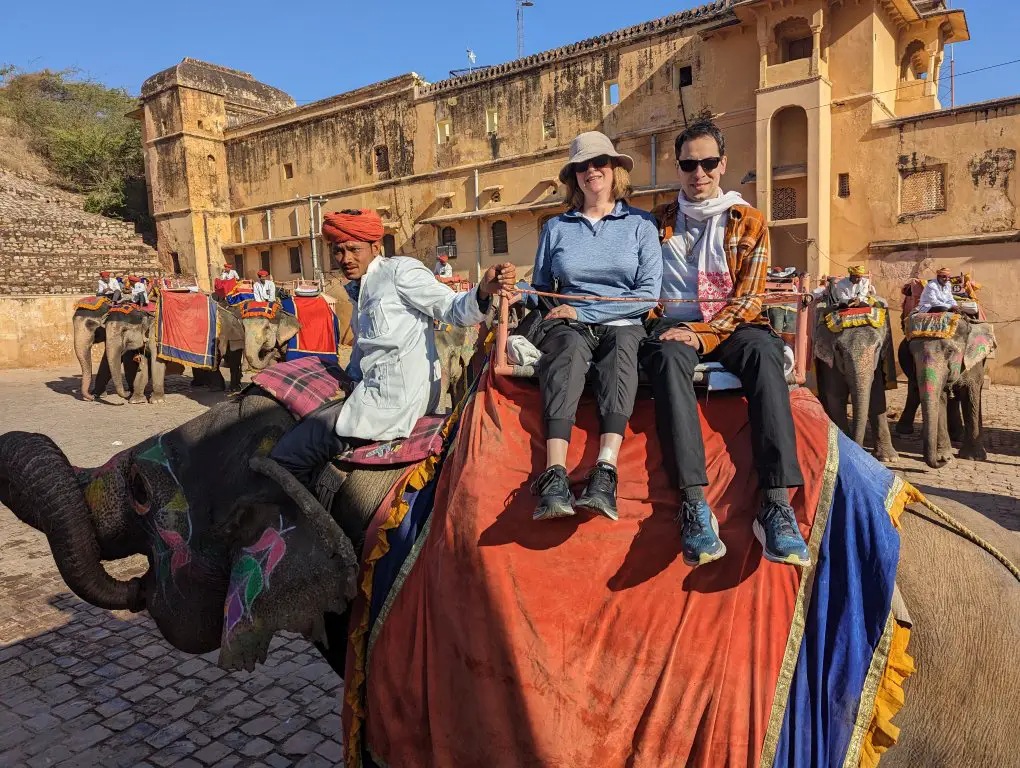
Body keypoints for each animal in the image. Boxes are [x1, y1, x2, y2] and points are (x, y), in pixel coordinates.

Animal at [811, 305, 901, 461]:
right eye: (838, 349)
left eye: (878, 347)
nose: (860, 447)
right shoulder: (828, 362)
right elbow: (836, 396)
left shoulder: (876, 363)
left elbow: (877, 396)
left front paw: (889, 458)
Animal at [897, 312, 991, 467]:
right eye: (911, 353)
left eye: (950, 351)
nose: (941, 462)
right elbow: (940, 399)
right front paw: (945, 458)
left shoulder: (974, 363)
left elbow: (971, 395)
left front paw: (974, 458)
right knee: (915, 391)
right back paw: (906, 431)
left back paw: (957, 436)